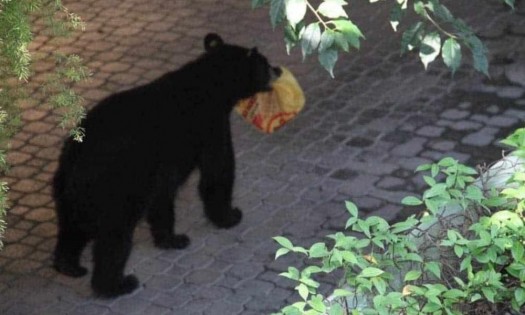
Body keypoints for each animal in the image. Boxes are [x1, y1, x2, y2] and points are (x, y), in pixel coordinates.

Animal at [52, 34, 280, 298]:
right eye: (265, 63)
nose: (278, 70)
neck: (212, 85)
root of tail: (76, 156)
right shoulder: (210, 124)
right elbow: (217, 170)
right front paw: (230, 215)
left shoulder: (162, 166)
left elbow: (163, 198)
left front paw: (171, 238)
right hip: (117, 182)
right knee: (115, 234)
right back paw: (117, 284)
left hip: (68, 190)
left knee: (72, 227)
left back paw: (68, 264)